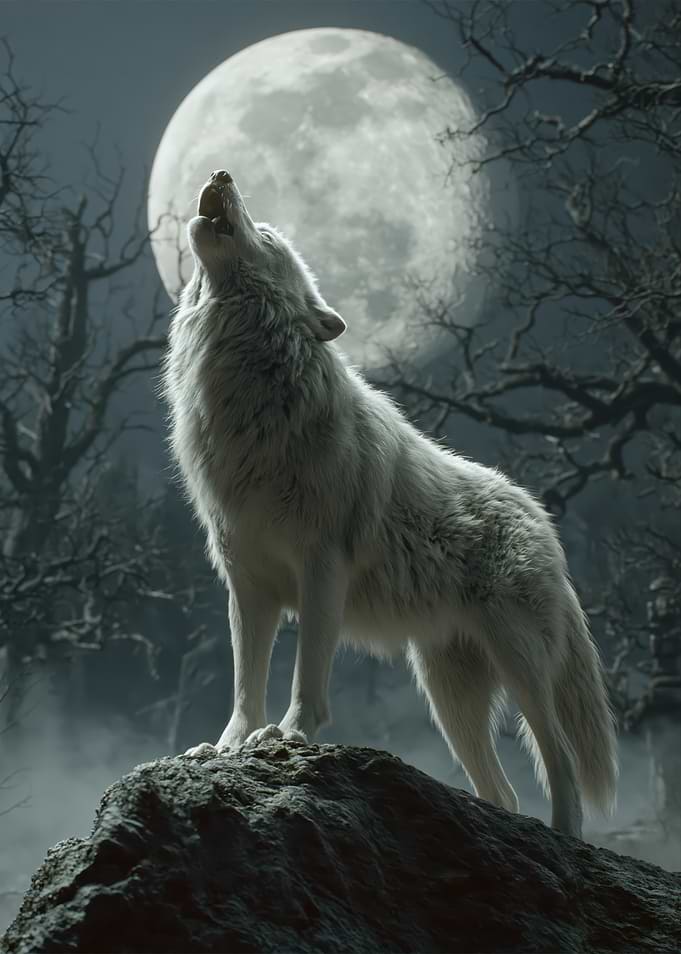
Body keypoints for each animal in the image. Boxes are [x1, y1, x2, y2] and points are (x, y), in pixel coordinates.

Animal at [162, 169, 618, 838]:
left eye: (265, 233)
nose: (222, 173)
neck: (251, 399)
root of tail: (543, 520)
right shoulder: (248, 583)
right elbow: (246, 683)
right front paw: (226, 747)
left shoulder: (321, 567)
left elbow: (307, 675)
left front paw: (288, 736)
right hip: (448, 696)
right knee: (504, 792)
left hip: (519, 667)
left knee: (559, 764)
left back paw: (563, 841)